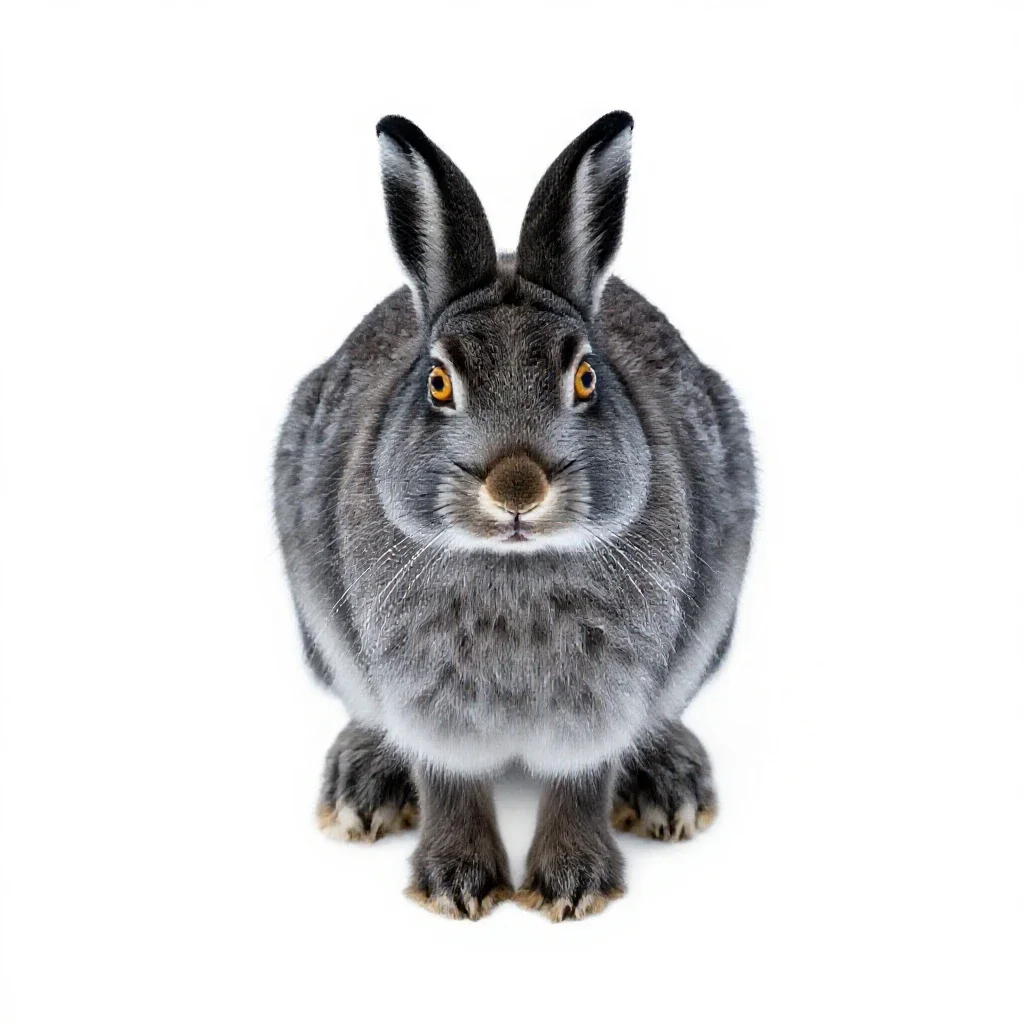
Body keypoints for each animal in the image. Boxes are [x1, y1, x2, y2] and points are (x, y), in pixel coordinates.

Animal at [273, 111, 757, 921]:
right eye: (438, 383)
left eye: (586, 377)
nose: (517, 487)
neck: (513, 564)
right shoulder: (426, 700)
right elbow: (449, 782)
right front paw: (456, 884)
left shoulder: (603, 699)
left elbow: (581, 783)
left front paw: (573, 885)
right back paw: (362, 788)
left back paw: (671, 788)